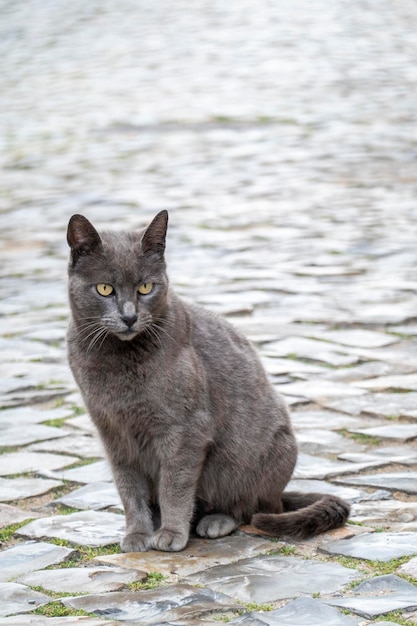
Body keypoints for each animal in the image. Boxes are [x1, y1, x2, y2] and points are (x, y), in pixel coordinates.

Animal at [66, 211, 350, 552]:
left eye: (146, 287)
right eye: (105, 289)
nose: (130, 317)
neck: (116, 361)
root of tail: (279, 496)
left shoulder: (185, 430)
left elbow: (175, 484)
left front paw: (171, 533)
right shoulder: (114, 434)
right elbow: (129, 489)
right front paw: (137, 535)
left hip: (260, 455)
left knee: (249, 507)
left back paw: (214, 521)